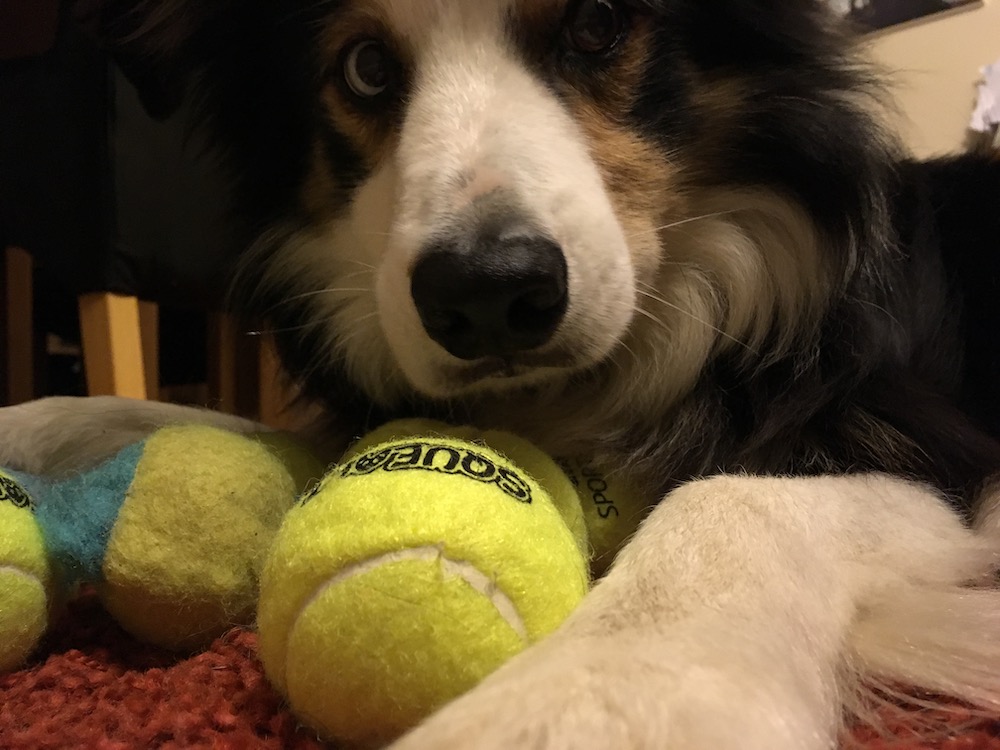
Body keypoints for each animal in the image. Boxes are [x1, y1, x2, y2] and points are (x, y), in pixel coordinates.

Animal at [5, 0, 1000, 748]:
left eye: (598, 23)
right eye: (366, 66)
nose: (485, 294)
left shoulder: (921, 440)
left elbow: (730, 498)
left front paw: (588, 701)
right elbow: (155, 412)